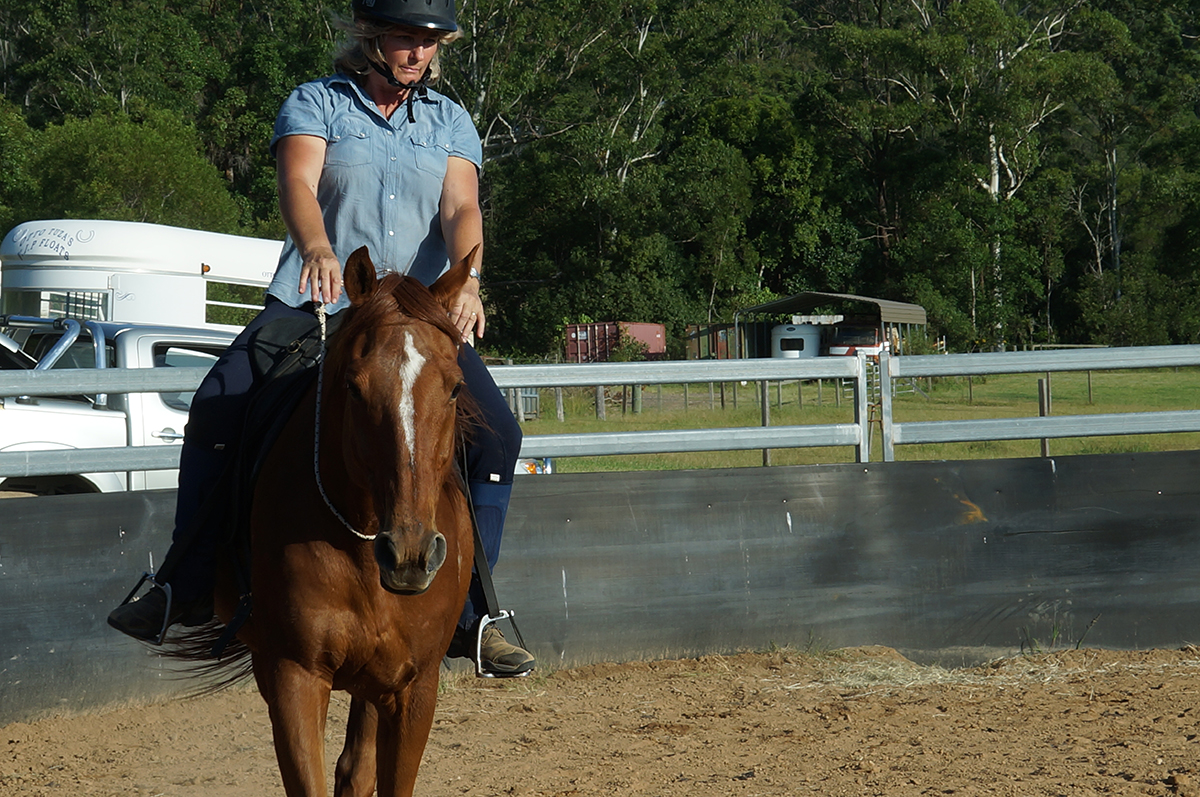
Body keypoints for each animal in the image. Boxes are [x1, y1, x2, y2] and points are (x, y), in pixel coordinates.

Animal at [208, 246, 478, 796]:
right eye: (354, 388)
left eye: (455, 388)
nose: (410, 554)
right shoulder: (295, 676)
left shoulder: (416, 687)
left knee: (356, 768)